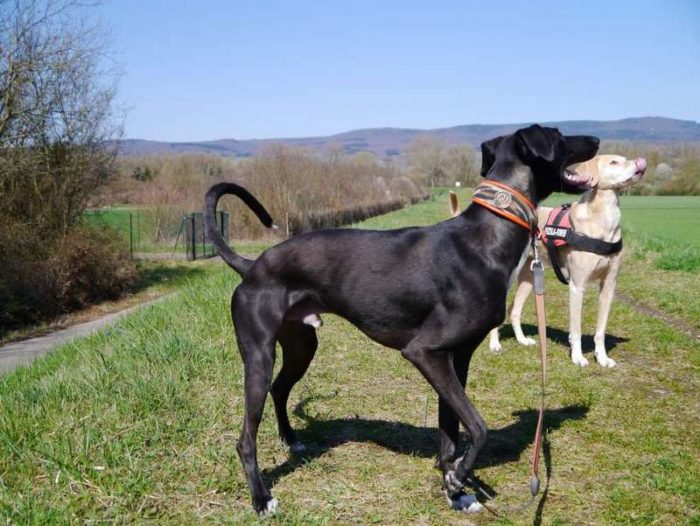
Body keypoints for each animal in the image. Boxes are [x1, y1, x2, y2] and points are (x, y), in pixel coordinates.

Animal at [204, 125, 599, 515]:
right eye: (558, 135)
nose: (595, 139)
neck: (486, 238)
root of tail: (251, 266)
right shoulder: (425, 352)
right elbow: (478, 427)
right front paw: (457, 480)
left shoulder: (456, 357)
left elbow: (450, 431)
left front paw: (455, 488)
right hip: (259, 354)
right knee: (246, 438)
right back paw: (261, 498)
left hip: (302, 344)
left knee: (280, 388)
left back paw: (291, 439)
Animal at [484, 155, 646, 367]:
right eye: (613, 162)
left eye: (625, 159)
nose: (640, 162)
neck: (603, 220)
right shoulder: (577, 286)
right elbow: (575, 330)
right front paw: (577, 357)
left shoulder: (609, 285)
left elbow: (600, 331)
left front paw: (602, 358)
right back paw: (495, 344)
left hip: (529, 278)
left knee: (515, 310)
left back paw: (522, 340)